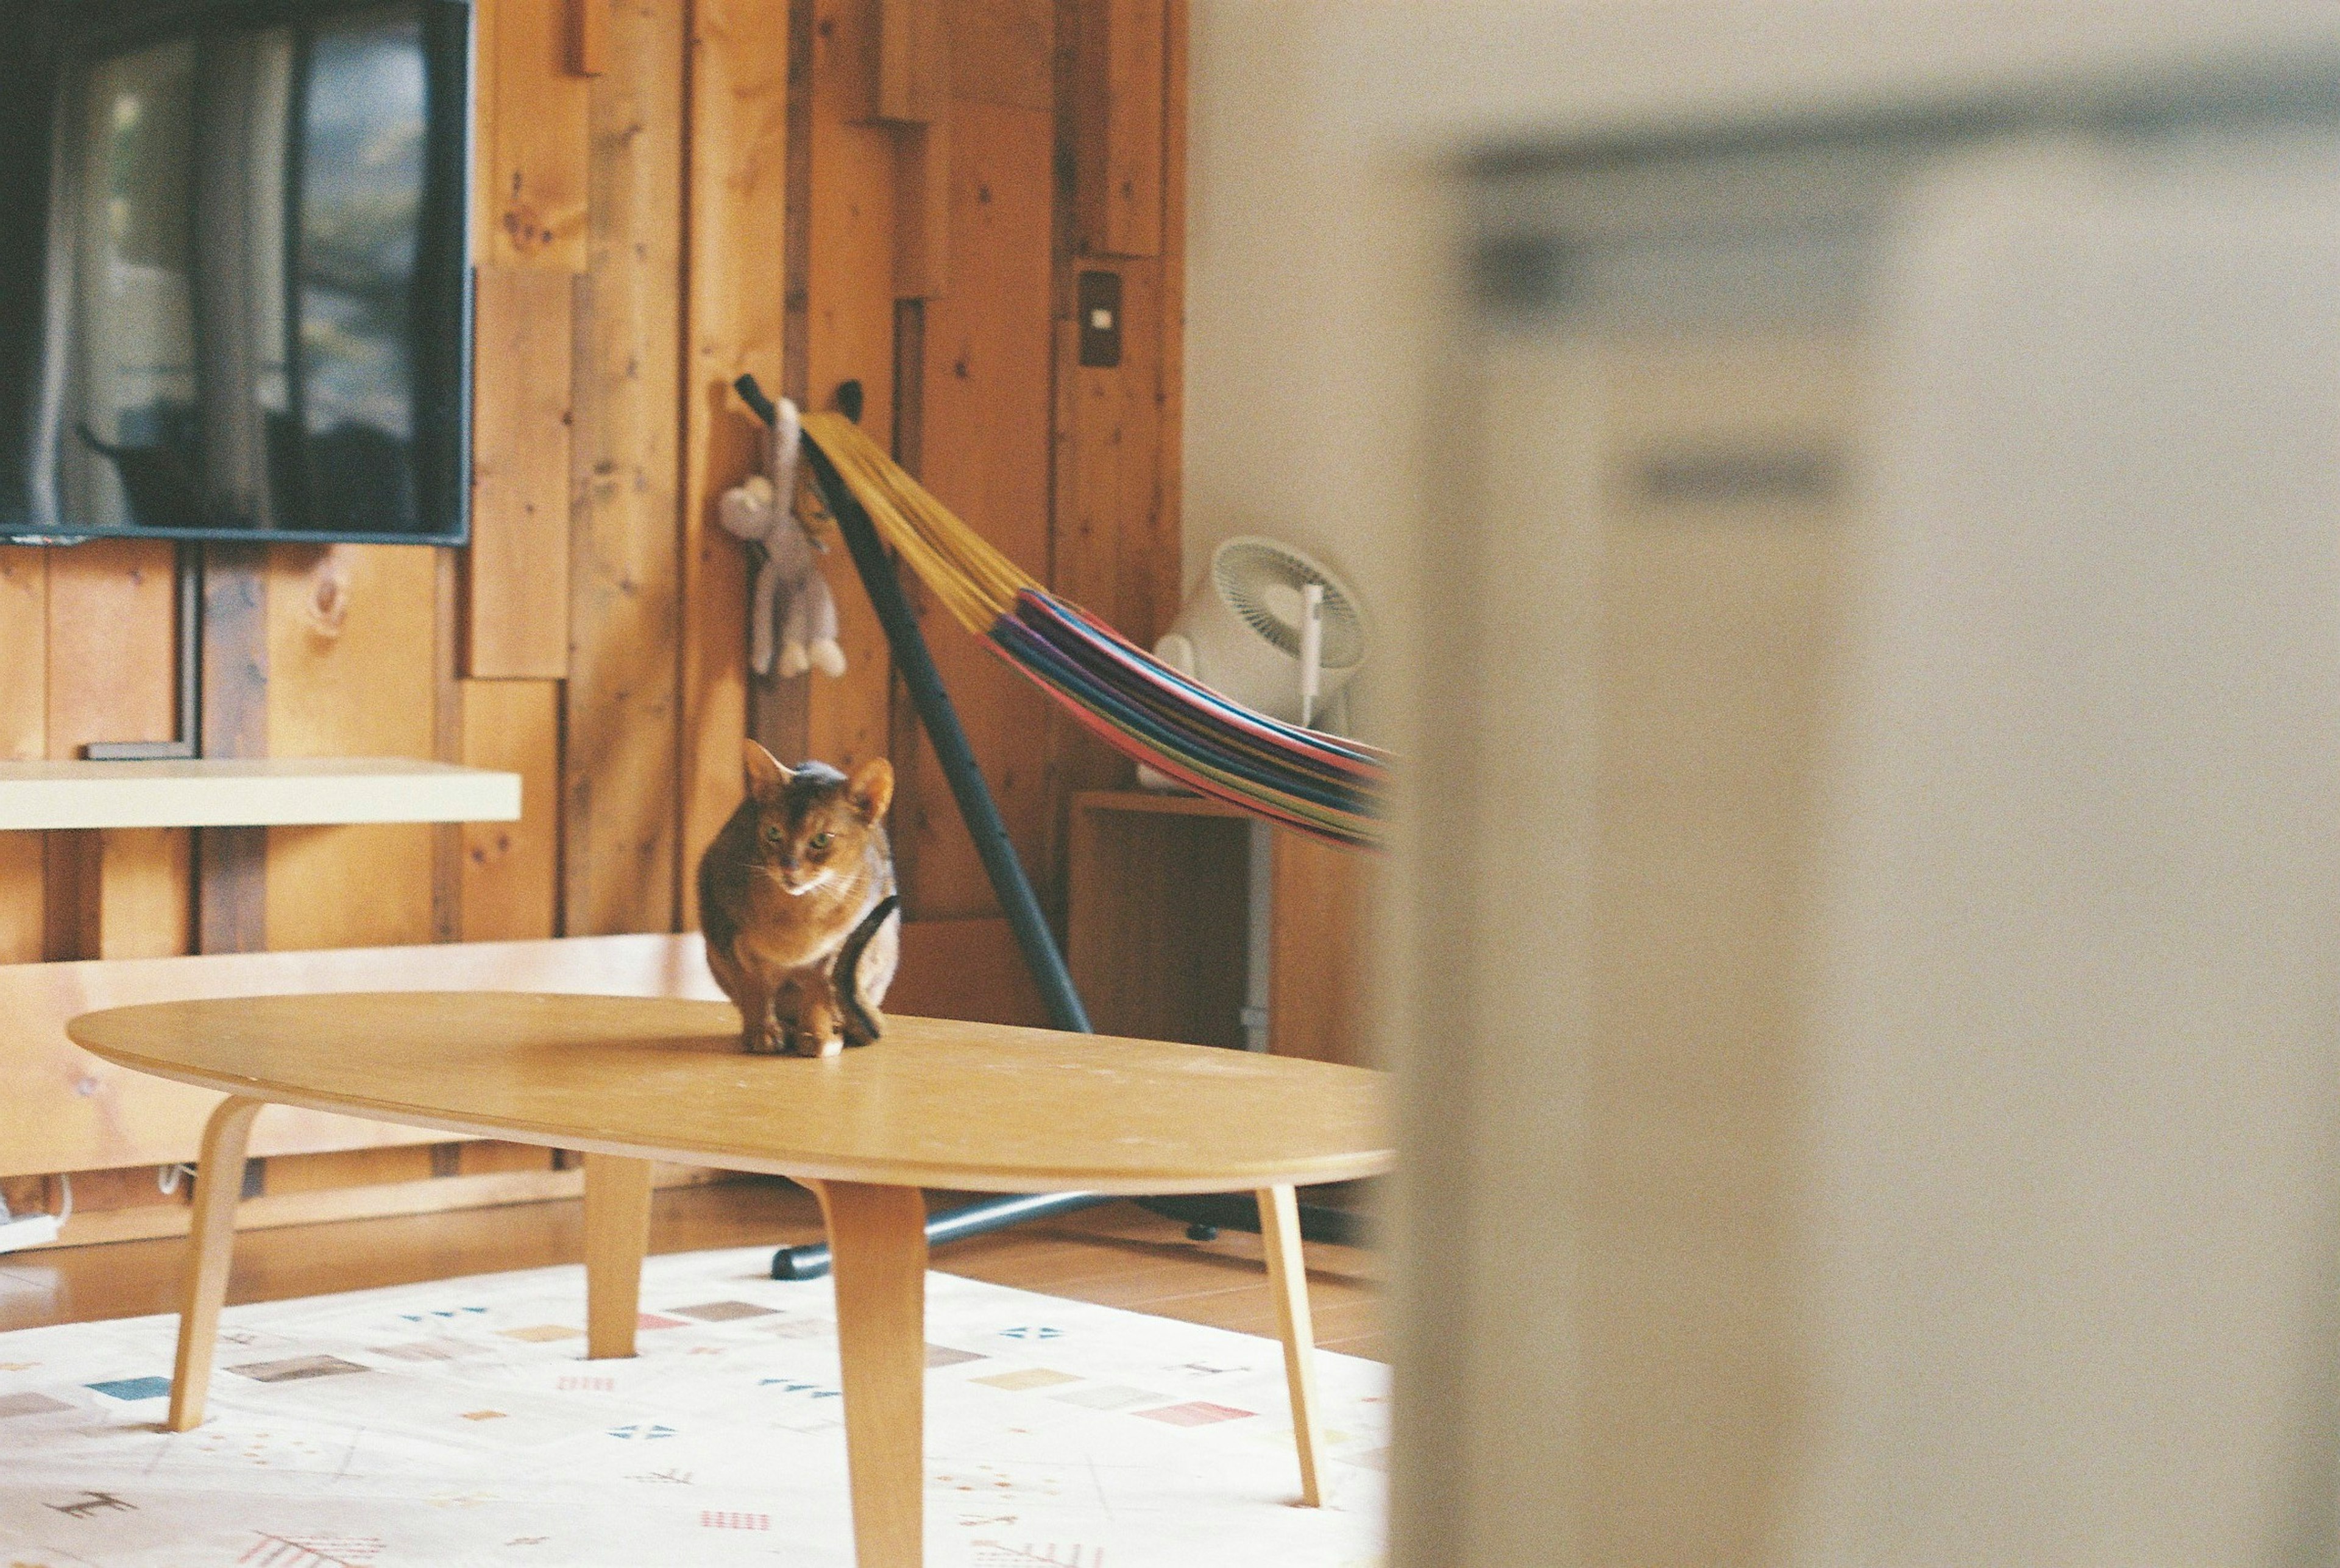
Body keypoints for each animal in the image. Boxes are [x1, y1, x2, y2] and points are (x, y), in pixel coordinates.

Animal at [687, 744, 898, 1062]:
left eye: (822, 840)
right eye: (773, 833)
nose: (788, 867)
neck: (798, 920)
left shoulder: (835, 949)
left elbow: (820, 992)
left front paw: (817, 1036)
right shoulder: (724, 928)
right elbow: (753, 988)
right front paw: (762, 1033)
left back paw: (835, 1028)